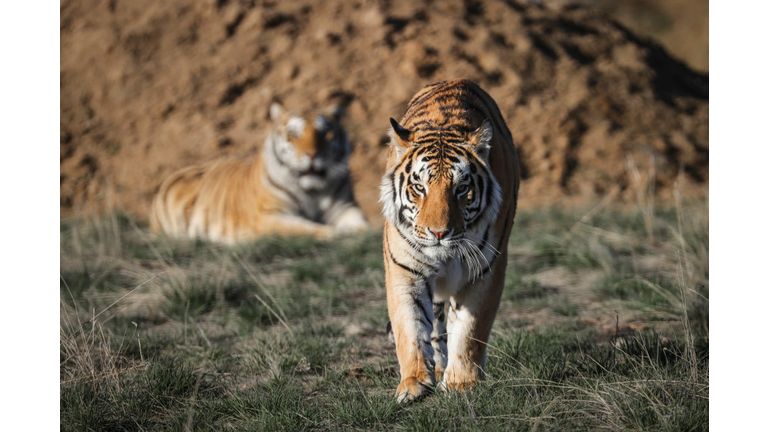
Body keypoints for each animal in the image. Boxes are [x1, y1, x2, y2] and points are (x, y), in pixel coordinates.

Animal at [151, 102, 368, 243]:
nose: (312, 154)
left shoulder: (345, 207)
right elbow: (302, 228)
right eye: (293, 134)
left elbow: (361, 222)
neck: (313, 190)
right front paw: (336, 233)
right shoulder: (268, 216)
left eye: (325, 133)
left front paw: (364, 231)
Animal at [380, 78, 520, 402]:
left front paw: (462, 383)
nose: (439, 233)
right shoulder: (405, 270)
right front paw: (413, 383)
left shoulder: (486, 270)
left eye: (462, 188)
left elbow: (470, 330)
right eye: (419, 187)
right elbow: (410, 328)